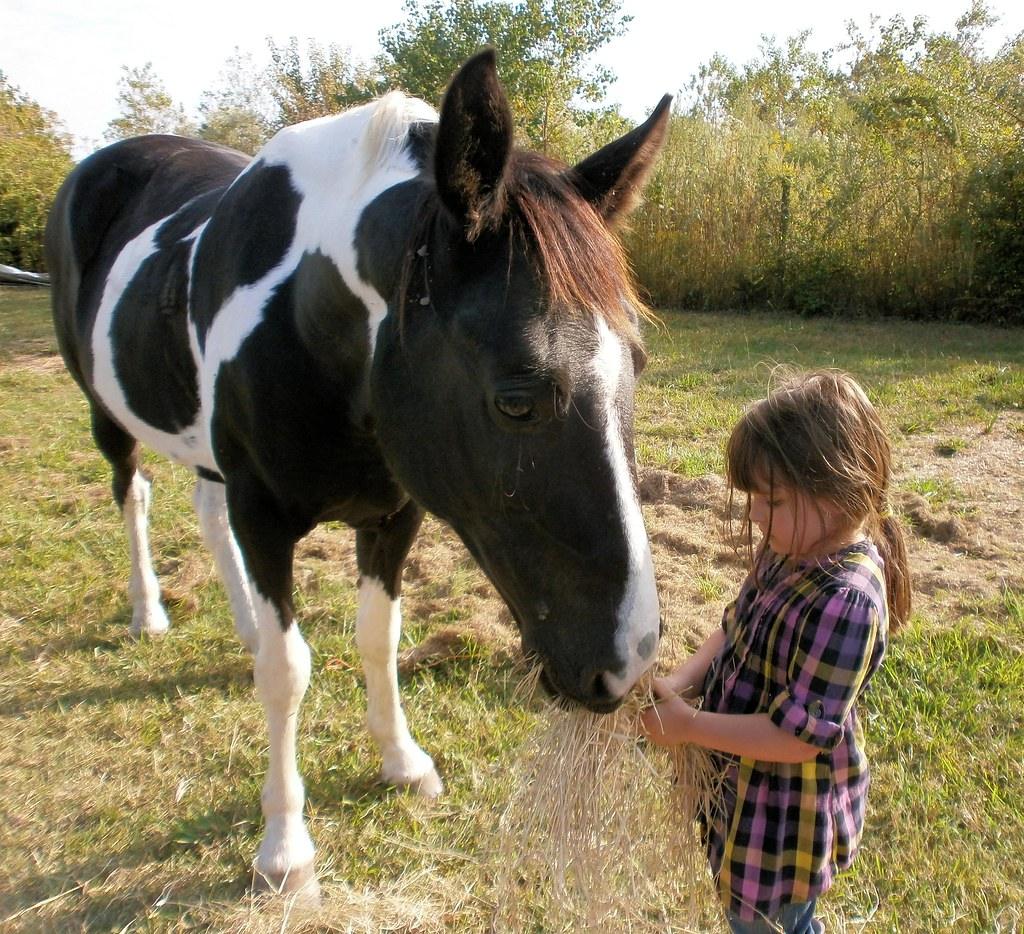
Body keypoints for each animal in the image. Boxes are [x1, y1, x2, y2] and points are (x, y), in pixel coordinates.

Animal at [45, 50, 671, 895]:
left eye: (636, 365)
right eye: (515, 400)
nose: (627, 667)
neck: (309, 322)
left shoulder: (394, 514)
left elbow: (378, 638)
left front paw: (402, 761)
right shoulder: (264, 516)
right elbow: (287, 671)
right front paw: (284, 846)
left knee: (205, 517)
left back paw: (243, 622)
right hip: (108, 414)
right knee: (133, 495)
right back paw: (149, 611)